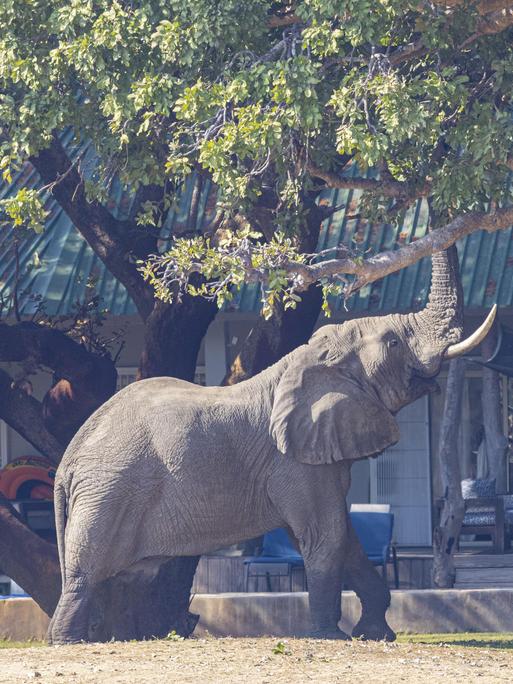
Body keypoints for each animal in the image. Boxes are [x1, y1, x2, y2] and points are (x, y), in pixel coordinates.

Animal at [48, 246, 496, 644]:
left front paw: (375, 635)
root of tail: (68, 459)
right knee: (88, 572)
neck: (313, 359)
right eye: (394, 343)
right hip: (110, 490)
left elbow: (341, 537)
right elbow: (326, 534)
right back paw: (70, 643)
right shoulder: (294, 462)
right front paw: (330, 637)